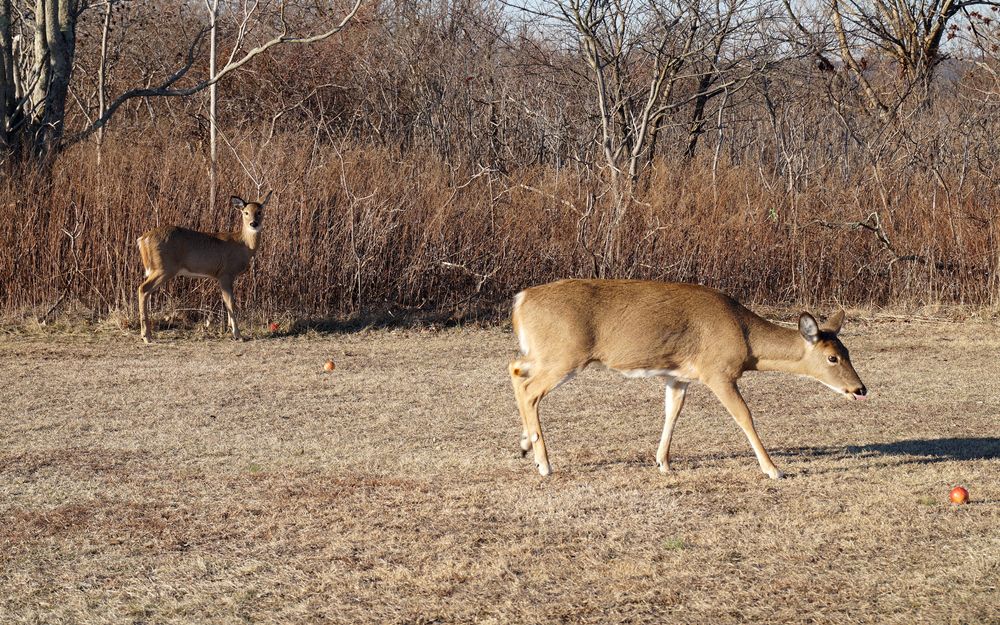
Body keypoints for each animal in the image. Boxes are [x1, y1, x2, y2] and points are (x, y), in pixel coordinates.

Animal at [136, 192, 271, 343]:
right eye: (246, 212)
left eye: (259, 212)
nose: (253, 223)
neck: (243, 245)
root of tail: (142, 239)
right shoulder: (225, 273)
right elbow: (231, 303)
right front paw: (238, 335)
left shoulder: (225, 276)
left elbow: (227, 302)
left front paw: (230, 329)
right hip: (164, 267)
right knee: (143, 289)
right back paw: (146, 336)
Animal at [508, 279, 868, 479]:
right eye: (832, 357)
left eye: (848, 351)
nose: (860, 389)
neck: (746, 340)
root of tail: (520, 300)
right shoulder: (717, 370)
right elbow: (744, 416)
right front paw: (773, 469)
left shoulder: (678, 375)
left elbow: (672, 412)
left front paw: (663, 463)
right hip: (565, 354)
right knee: (529, 388)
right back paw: (544, 464)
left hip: (544, 353)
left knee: (515, 368)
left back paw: (526, 446)